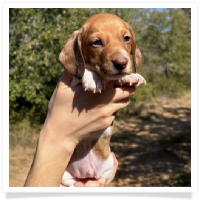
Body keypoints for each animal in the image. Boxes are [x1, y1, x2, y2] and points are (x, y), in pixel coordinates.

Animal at [58, 13, 146, 187]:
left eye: (126, 38)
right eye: (96, 42)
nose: (122, 63)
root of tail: (88, 173)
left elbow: (119, 79)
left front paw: (130, 77)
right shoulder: (74, 81)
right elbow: (86, 68)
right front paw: (92, 79)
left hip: (109, 165)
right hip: (64, 174)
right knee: (70, 183)